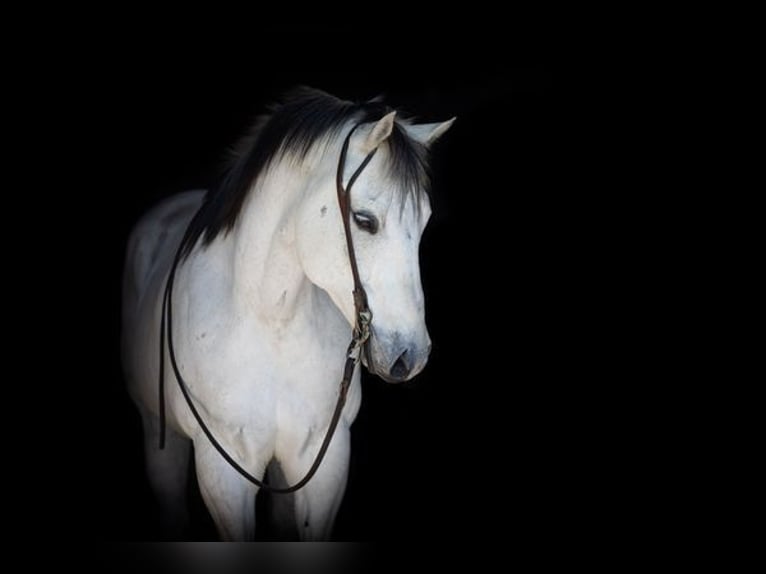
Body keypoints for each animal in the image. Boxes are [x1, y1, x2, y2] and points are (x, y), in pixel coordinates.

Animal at [121, 87, 454, 540]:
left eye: (424, 223)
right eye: (365, 221)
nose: (410, 356)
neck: (272, 320)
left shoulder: (323, 462)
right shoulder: (223, 471)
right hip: (160, 436)